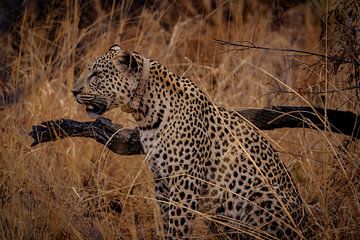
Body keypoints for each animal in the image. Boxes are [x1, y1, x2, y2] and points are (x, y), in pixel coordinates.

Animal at [71, 44, 314, 238]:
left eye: (96, 74)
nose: (73, 91)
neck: (145, 113)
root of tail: (306, 223)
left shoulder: (185, 181)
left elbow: (178, 225)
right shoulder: (161, 180)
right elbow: (167, 219)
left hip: (259, 197)